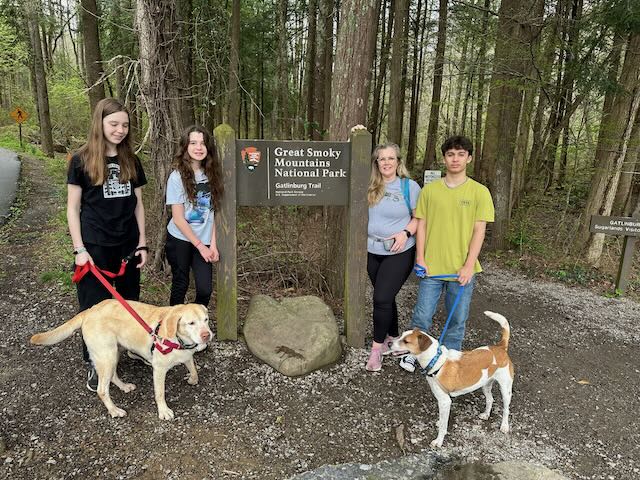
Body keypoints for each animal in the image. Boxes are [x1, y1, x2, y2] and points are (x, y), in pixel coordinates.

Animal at [30, 299, 213, 420]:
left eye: (206, 320)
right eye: (191, 323)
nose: (207, 335)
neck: (179, 339)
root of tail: (89, 310)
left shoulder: (187, 356)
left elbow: (193, 369)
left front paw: (192, 378)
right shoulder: (159, 369)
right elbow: (160, 393)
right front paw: (163, 411)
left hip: (114, 352)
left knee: (112, 376)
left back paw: (124, 386)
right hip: (107, 355)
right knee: (102, 390)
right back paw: (114, 410)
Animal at [391, 311, 514, 447]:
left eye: (406, 341)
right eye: (401, 336)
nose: (389, 343)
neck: (436, 361)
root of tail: (500, 347)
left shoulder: (445, 401)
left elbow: (443, 426)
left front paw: (439, 441)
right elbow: (442, 420)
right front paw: (440, 423)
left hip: (506, 389)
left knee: (506, 409)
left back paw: (504, 426)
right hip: (486, 384)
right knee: (490, 399)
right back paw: (486, 414)